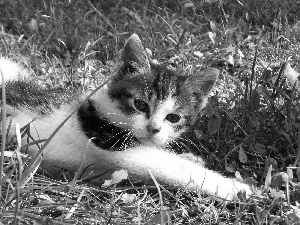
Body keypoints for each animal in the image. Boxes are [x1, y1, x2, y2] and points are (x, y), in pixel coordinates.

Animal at [0, 33, 251, 200]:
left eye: (173, 118)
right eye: (139, 104)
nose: (153, 129)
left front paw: (191, 157)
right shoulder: (112, 144)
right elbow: (168, 165)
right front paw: (234, 188)